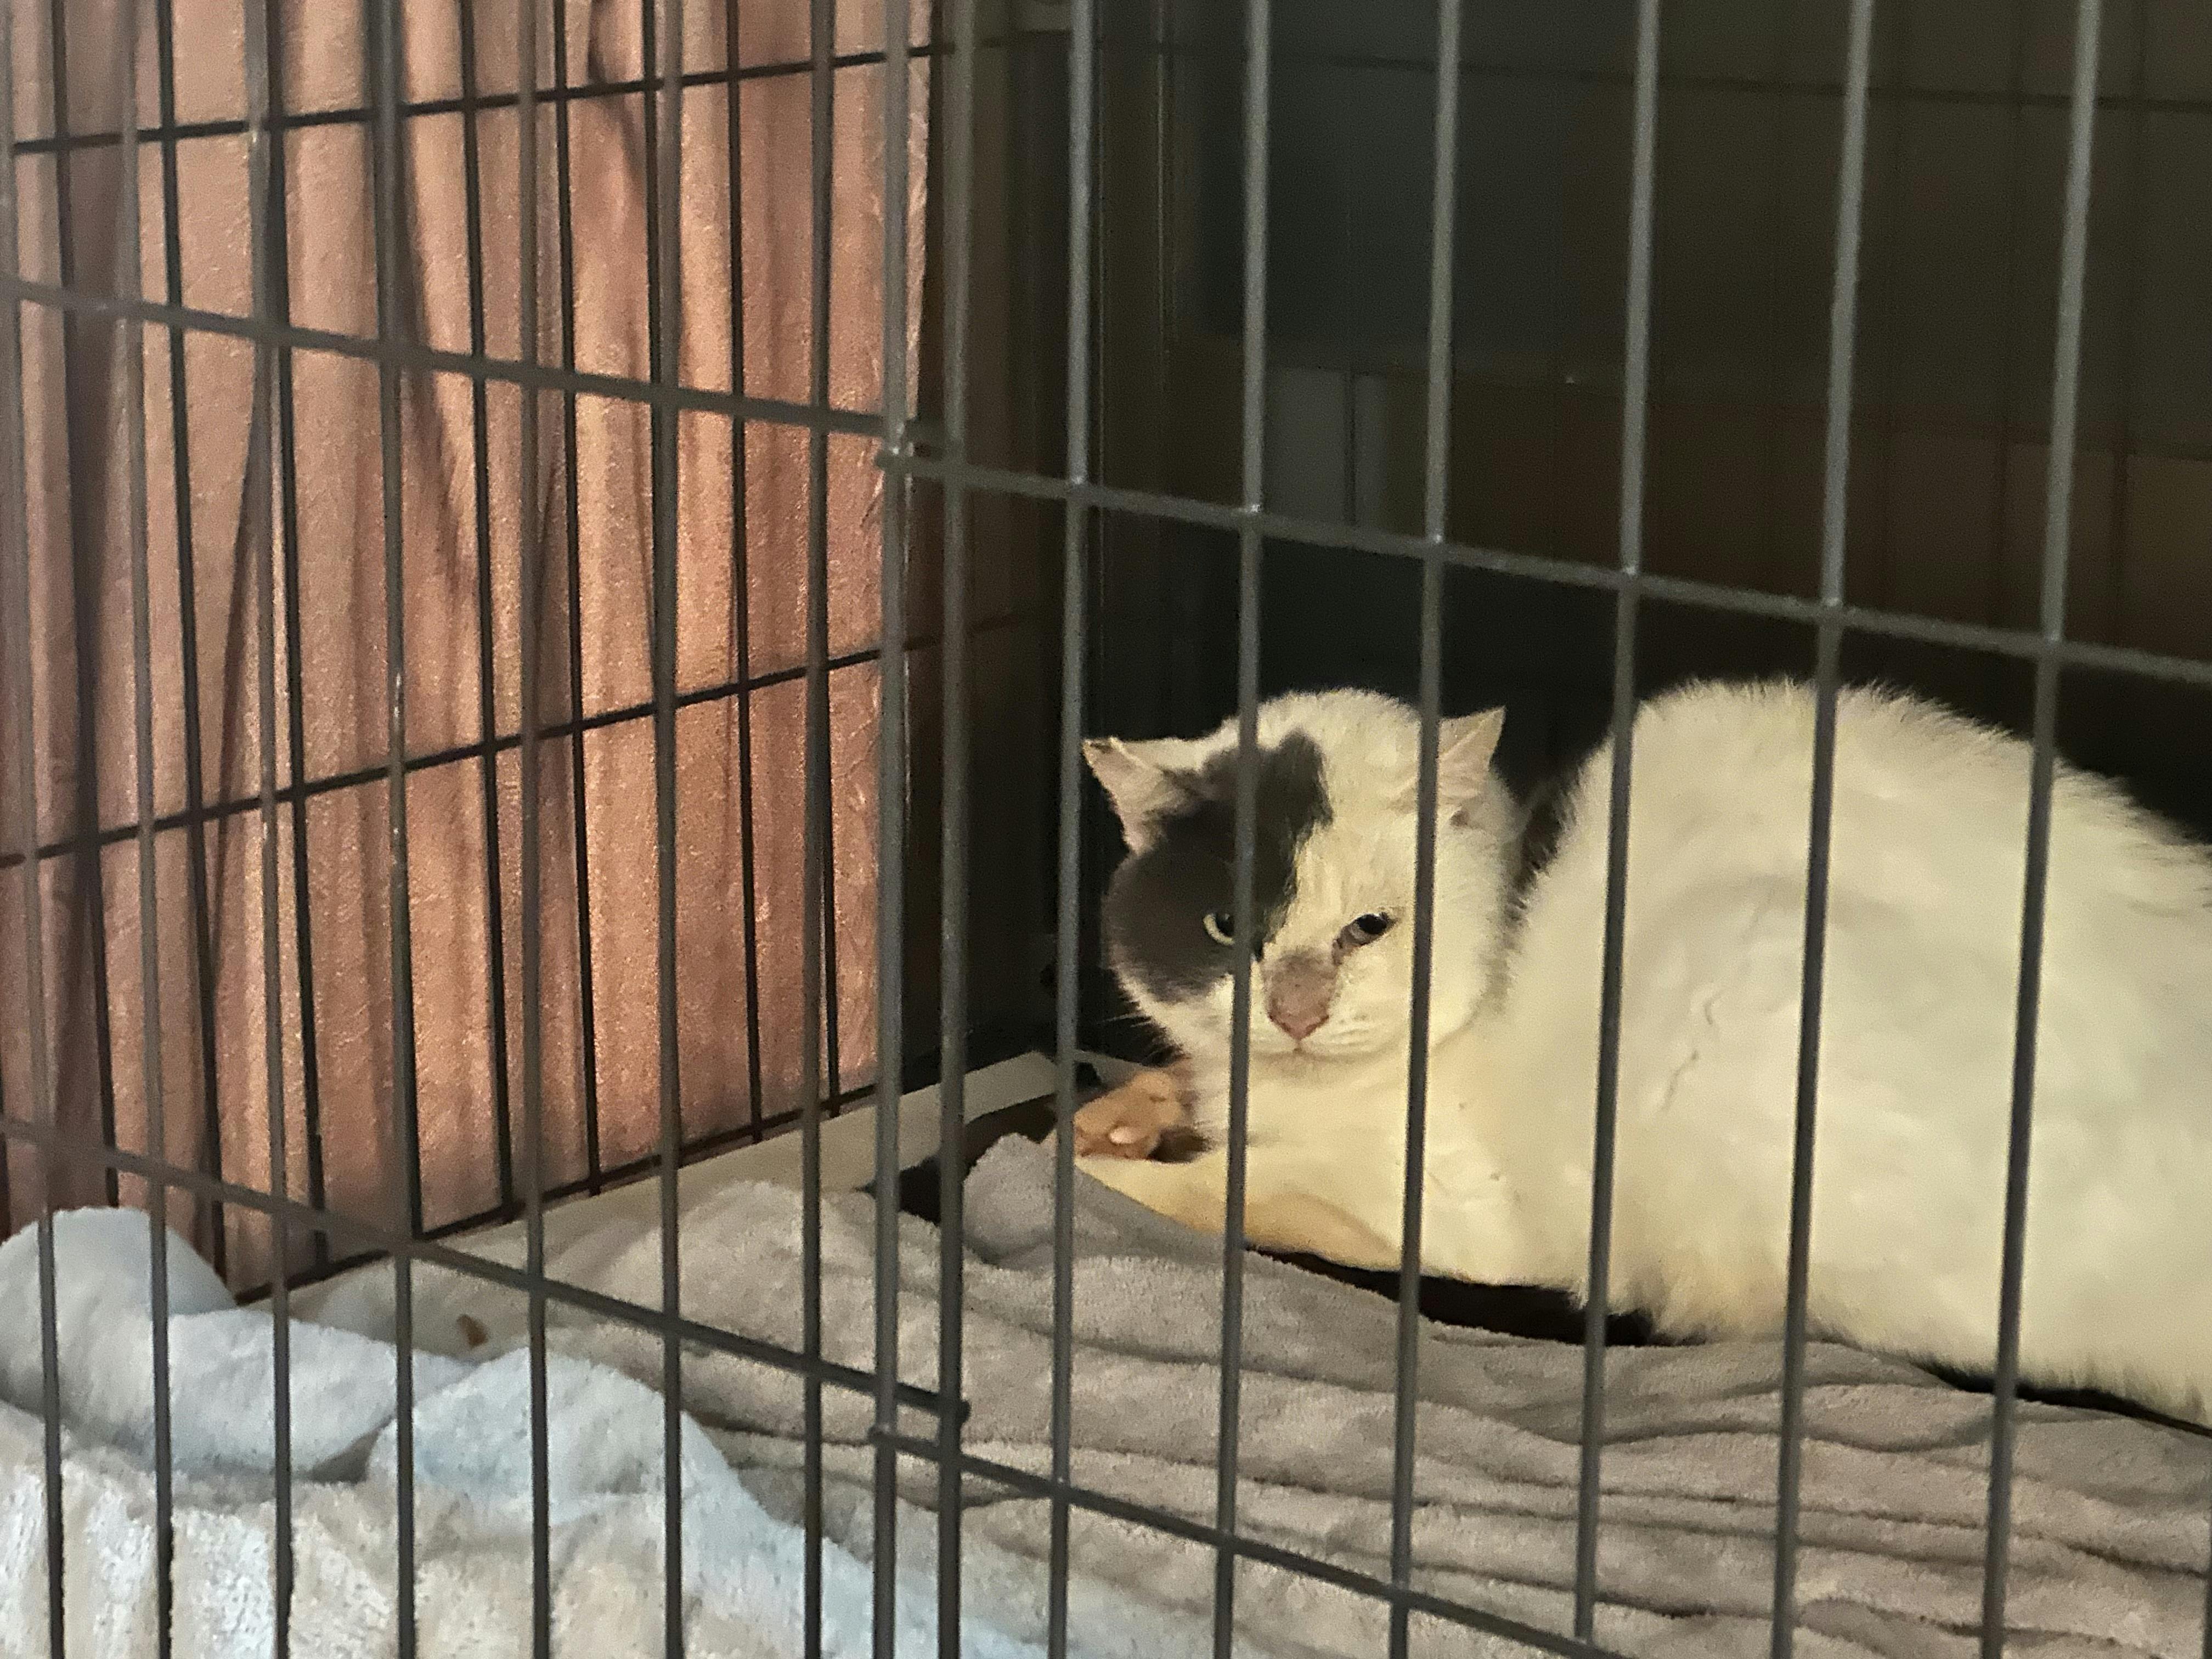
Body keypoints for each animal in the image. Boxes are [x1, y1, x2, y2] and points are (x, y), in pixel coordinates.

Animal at [1072, 682, 2212, 1423]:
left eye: (1368, 928)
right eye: (1228, 926)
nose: (1296, 1009)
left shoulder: (1456, 1203)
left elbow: (1239, 1189)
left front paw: (1101, 1165)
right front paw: (1128, 1109)